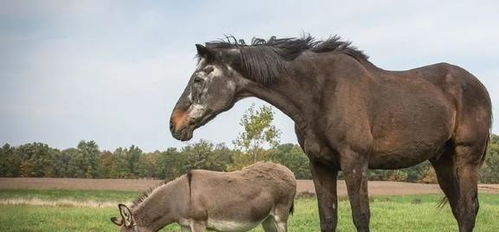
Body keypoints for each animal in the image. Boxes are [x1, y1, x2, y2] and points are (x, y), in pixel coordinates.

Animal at [110, 161, 296, 232]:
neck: (176, 199)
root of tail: (288, 171)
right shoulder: (185, 225)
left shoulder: (198, 223)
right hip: (267, 219)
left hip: (280, 215)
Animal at [169, 35, 492, 232]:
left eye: (198, 79)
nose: (174, 124)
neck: (321, 92)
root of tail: (477, 85)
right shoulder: (320, 164)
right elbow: (328, 217)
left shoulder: (354, 162)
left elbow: (361, 217)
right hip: (442, 160)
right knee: (460, 208)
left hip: (467, 158)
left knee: (468, 208)